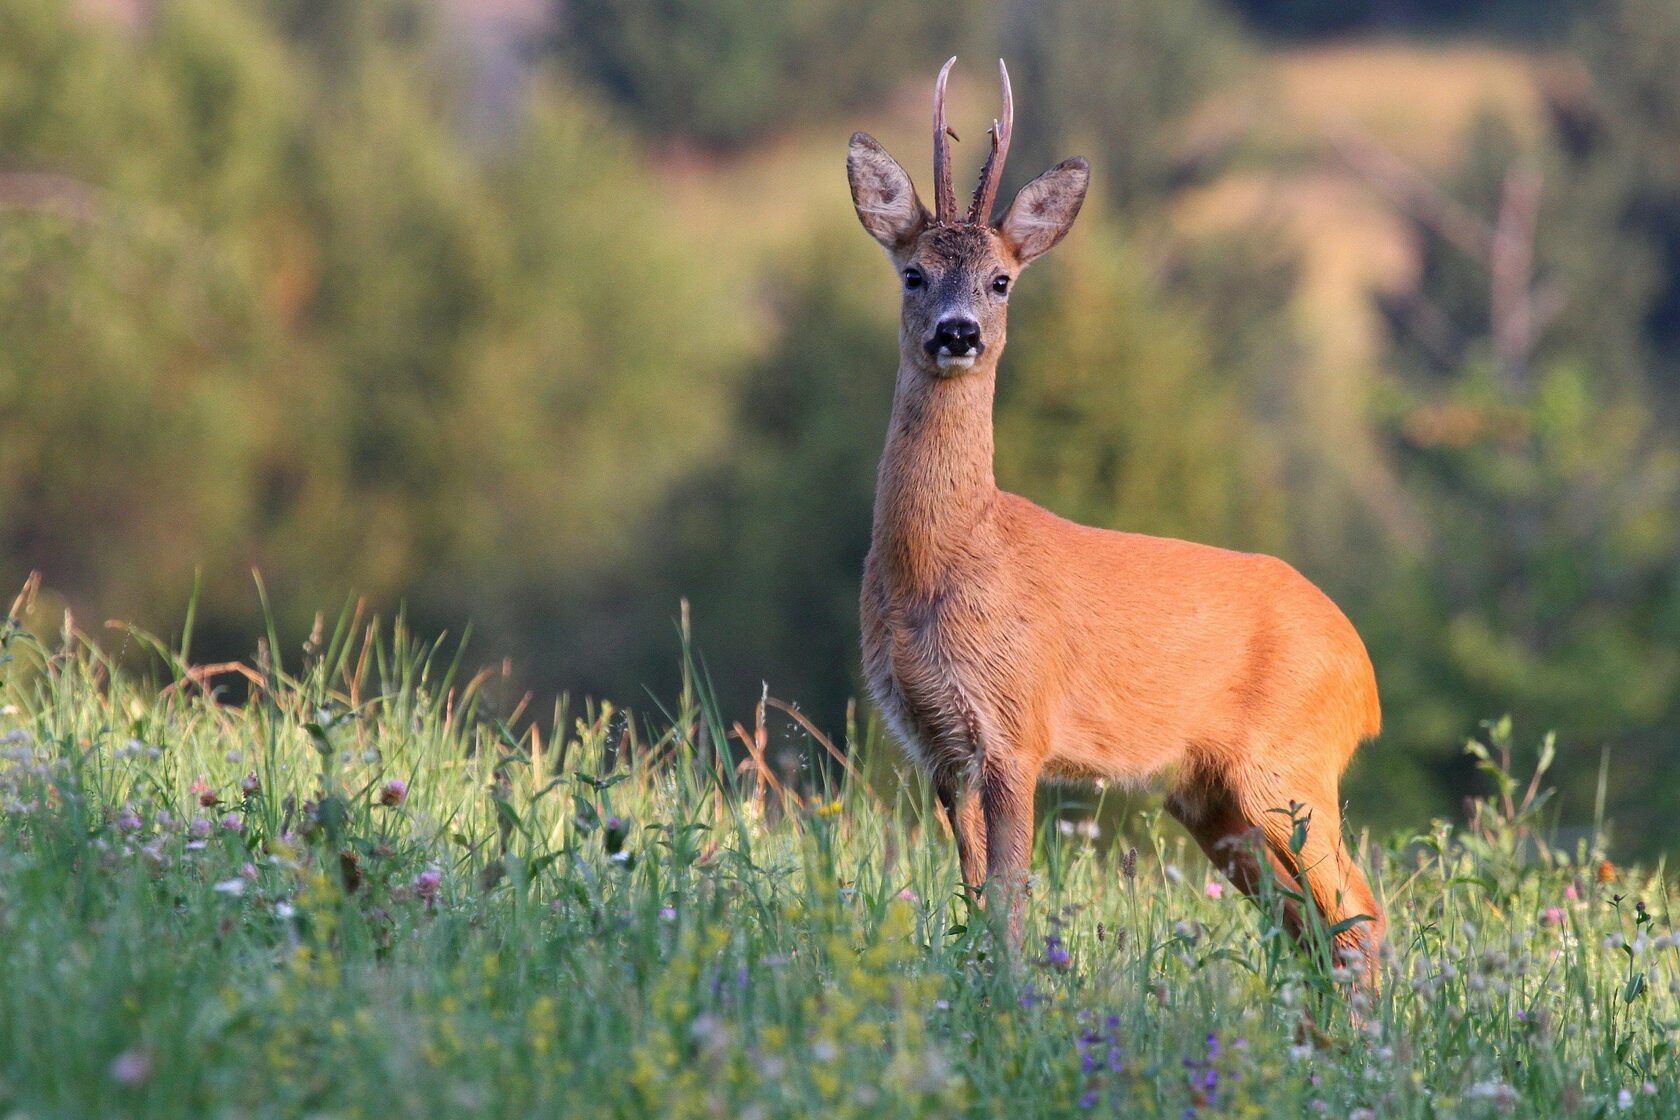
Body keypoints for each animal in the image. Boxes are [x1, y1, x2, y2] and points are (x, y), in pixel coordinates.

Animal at [846, 61, 1384, 987]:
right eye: (912, 273)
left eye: (1002, 280)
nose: (958, 333)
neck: (947, 561)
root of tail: (1365, 677)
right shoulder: (936, 747)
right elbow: (972, 892)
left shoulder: (1016, 725)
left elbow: (1008, 900)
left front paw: (1013, 998)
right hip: (1213, 798)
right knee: (1310, 928)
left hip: (1290, 762)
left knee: (1361, 917)